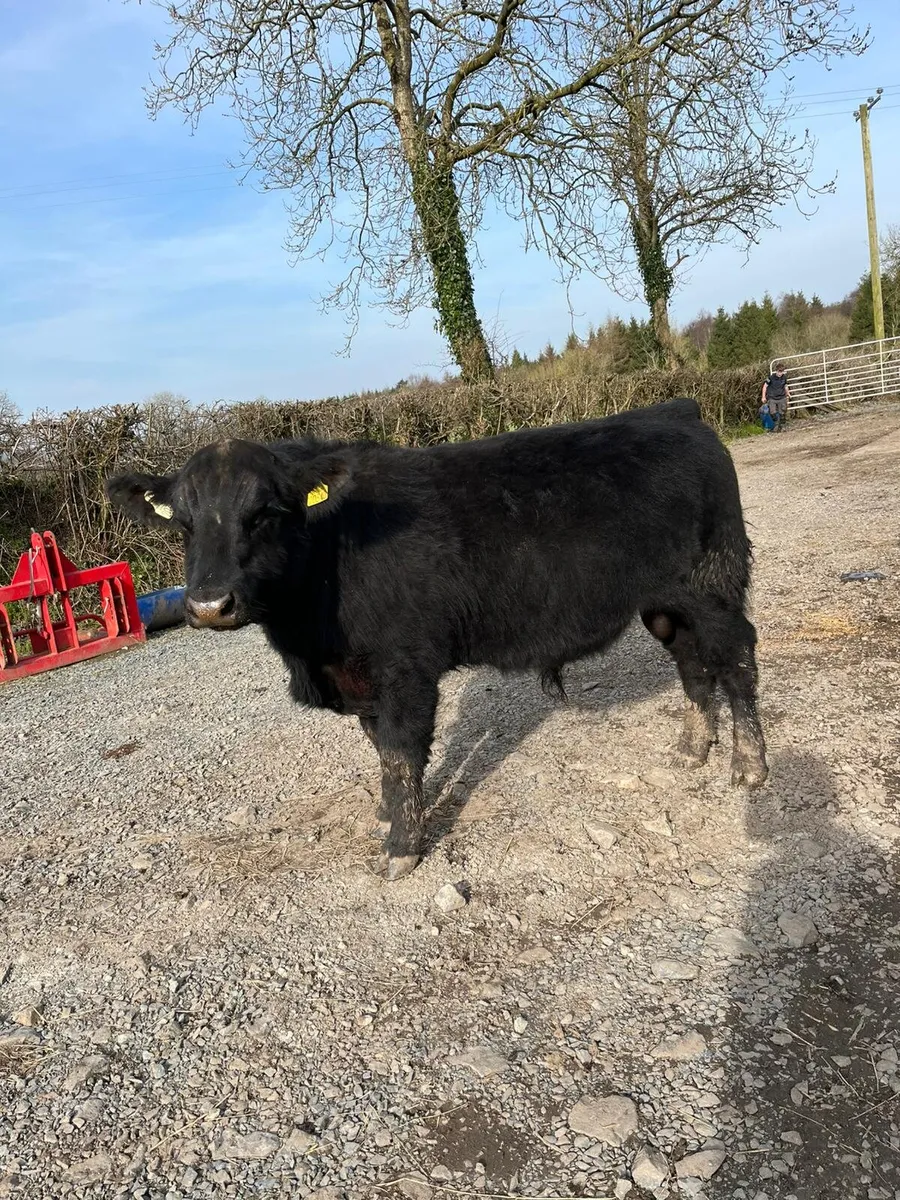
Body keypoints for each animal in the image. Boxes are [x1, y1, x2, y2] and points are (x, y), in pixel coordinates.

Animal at [106, 397, 768, 880]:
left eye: (265, 512)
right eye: (183, 524)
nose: (207, 604)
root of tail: (675, 411)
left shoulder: (404, 667)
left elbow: (401, 752)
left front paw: (402, 847)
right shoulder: (360, 674)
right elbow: (380, 749)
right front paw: (387, 813)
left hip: (711, 584)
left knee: (736, 657)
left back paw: (749, 766)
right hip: (664, 603)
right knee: (693, 661)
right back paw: (692, 748)